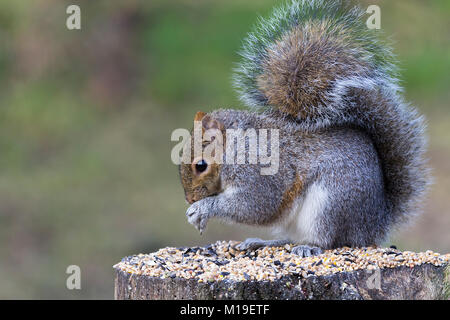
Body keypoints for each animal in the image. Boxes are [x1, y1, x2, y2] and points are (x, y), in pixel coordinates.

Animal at [178, 0, 428, 256]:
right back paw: (264, 242)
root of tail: (373, 226)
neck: (237, 146)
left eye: (201, 165)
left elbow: (256, 204)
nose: (189, 199)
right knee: (290, 237)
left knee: (329, 240)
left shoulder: (259, 171)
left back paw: (309, 246)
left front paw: (203, 208)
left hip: (330, 203)